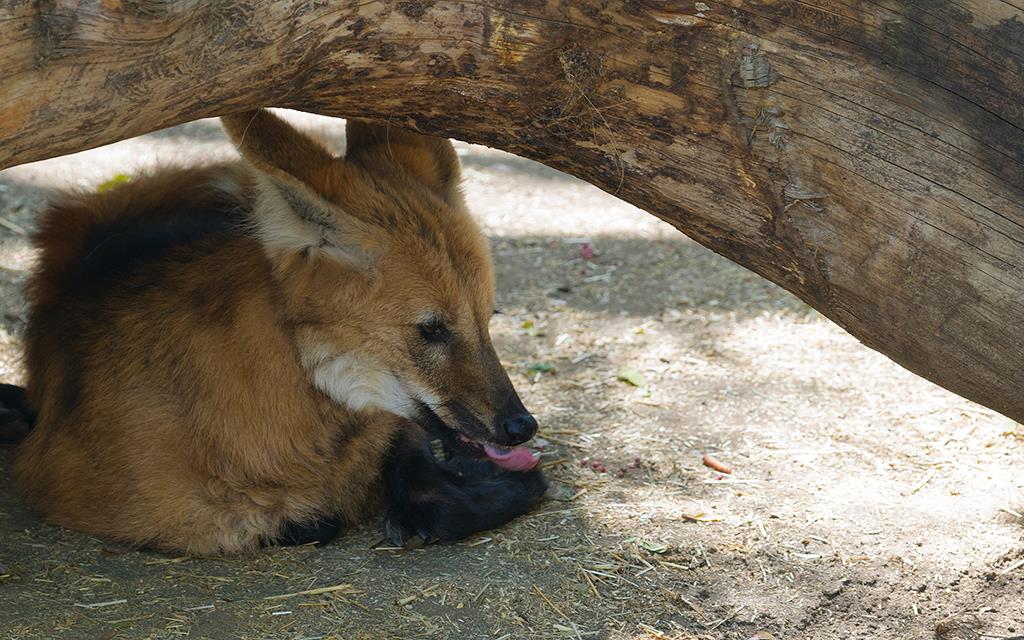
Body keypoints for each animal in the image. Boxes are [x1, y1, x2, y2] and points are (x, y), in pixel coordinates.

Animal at [4, 109, 548, 552]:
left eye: (487, 317)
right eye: (432, 330)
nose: (522, 426)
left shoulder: (389, 426)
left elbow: (424, 488)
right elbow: (301, 520)